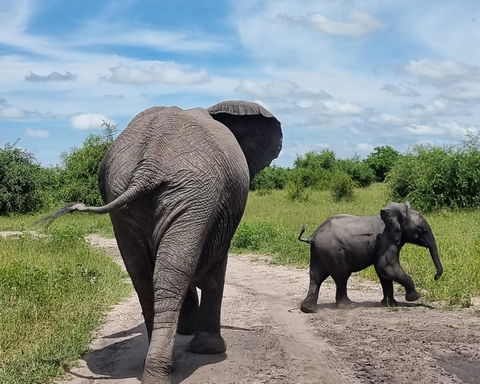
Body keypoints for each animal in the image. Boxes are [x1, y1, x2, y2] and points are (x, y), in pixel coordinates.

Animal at [45, 100, 282, 382]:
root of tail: (149, 164)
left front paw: (188, 331)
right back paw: (162, 370)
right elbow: (215, 267)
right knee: (172, 270)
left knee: (146, 275)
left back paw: (158, 367)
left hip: (128, 194)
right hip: (194, 193)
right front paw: (208, 348)